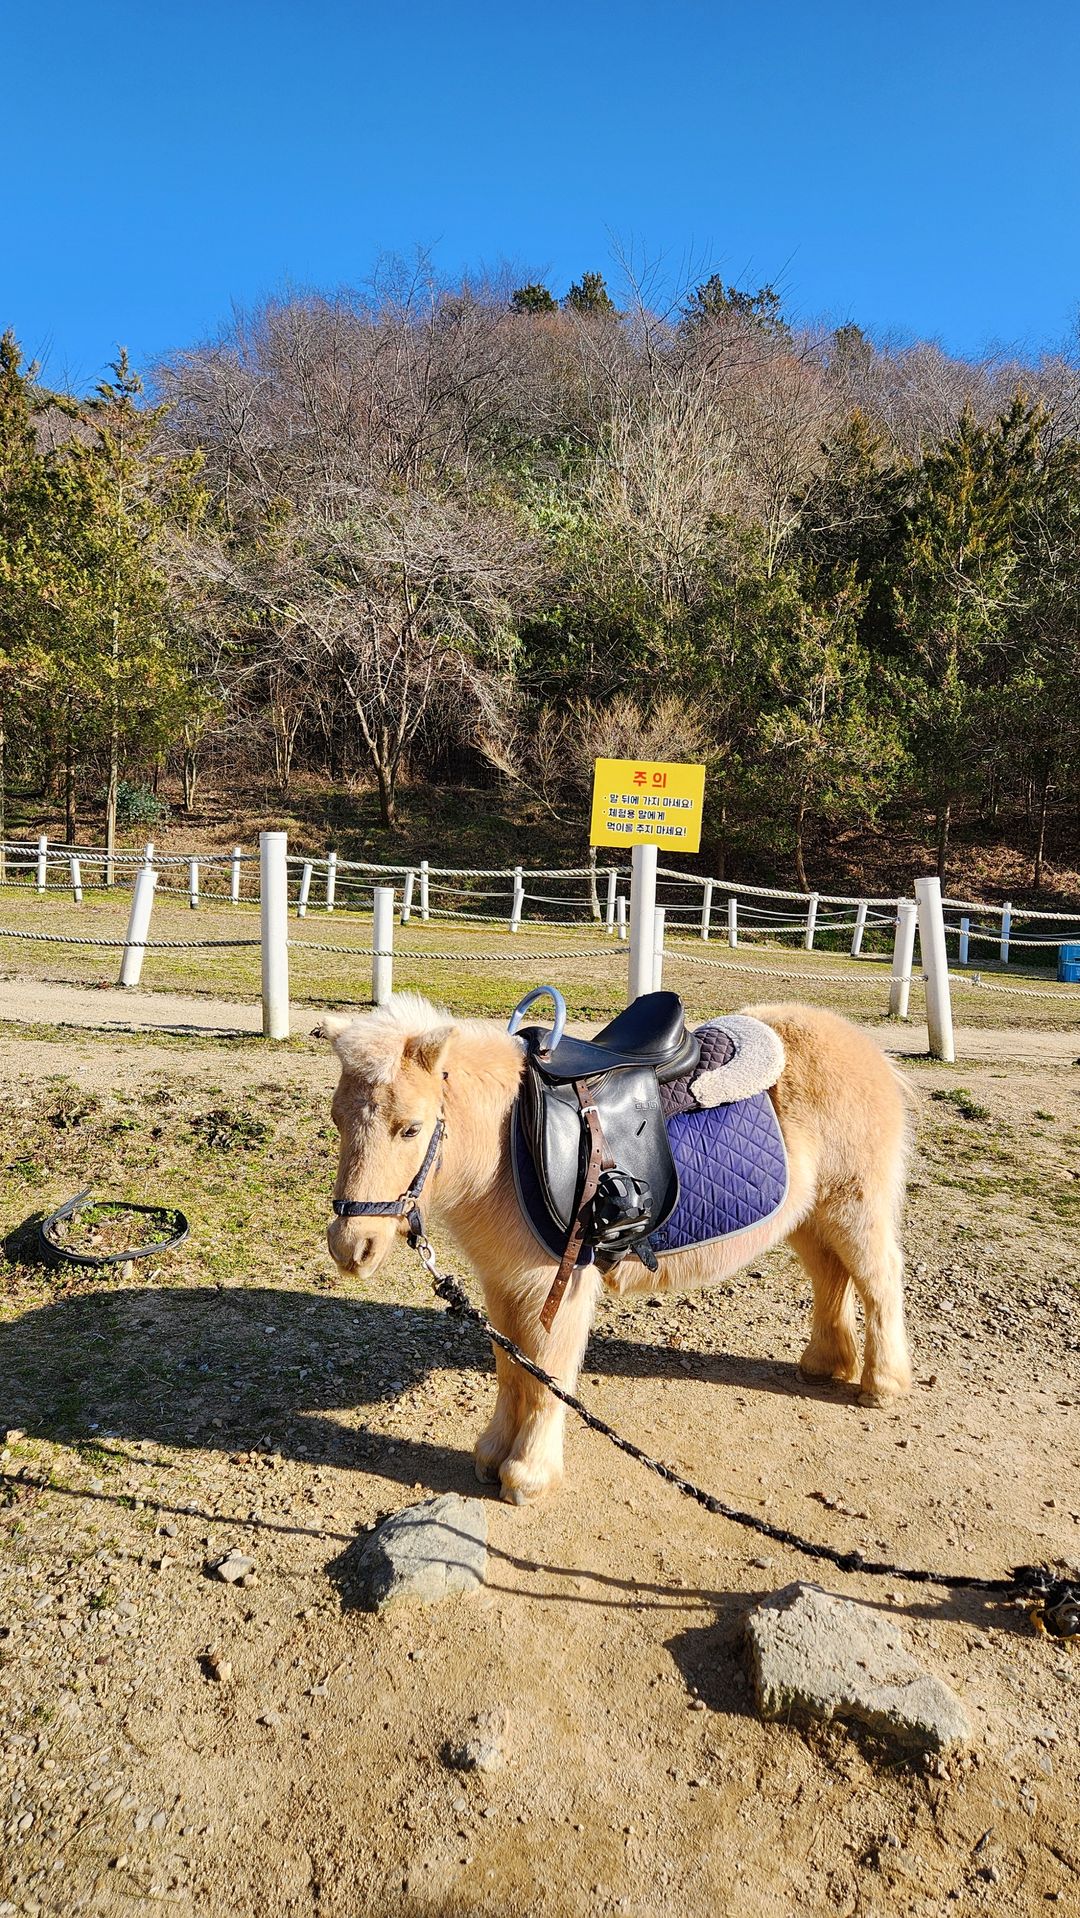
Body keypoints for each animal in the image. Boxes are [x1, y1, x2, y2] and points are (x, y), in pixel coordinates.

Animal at [320, 997, 913, 1503]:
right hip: (810, 1217)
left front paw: (527, 1477)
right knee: (831, 1278)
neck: (509, 1142)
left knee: (878, 1283)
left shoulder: (553, 1285)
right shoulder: (502, 1284)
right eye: (337, 1118)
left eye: (410, 1129)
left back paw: (882, 1386)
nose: (351, 1248)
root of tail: (865, 1048)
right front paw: (491, 1456)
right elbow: (513, 1369)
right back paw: (825, 1365)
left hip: (854, 1207)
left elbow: (547, 1376)